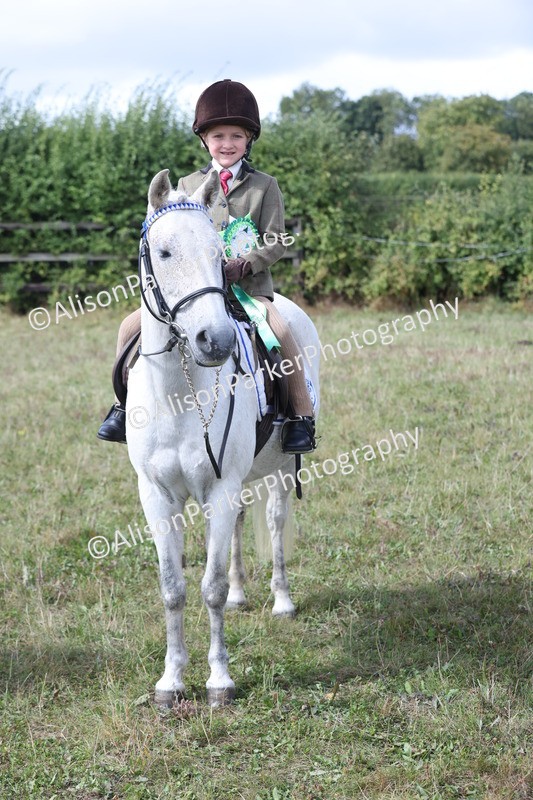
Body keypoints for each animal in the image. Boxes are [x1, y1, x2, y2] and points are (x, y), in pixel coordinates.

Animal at [126, 168, 320, 706]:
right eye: (164, 253)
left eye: (219, 253)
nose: (216, 341)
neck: (179, 395)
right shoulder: (158, 494)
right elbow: (173, 588)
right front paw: (171, 681)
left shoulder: (221, 485)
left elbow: (207, 587)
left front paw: (219, 680)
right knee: (237, 528)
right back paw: (239, 596)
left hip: (278, 469)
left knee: (274, 522)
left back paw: (281, 601)